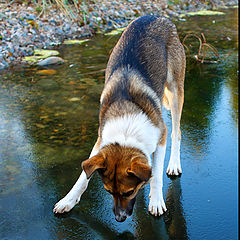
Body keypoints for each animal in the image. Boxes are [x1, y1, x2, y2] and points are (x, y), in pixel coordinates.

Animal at [54, 14, 186, 221]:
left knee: (177, 131)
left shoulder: (161, 135)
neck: (127, 128)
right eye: (109, 192)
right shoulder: (100, 141)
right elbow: (83, 177)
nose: (119, 218)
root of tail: (158, 16)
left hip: (175, 90)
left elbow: (156, 174)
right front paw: (68, 200)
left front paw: (156, 201)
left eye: (128, 192)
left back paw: (173, 164)